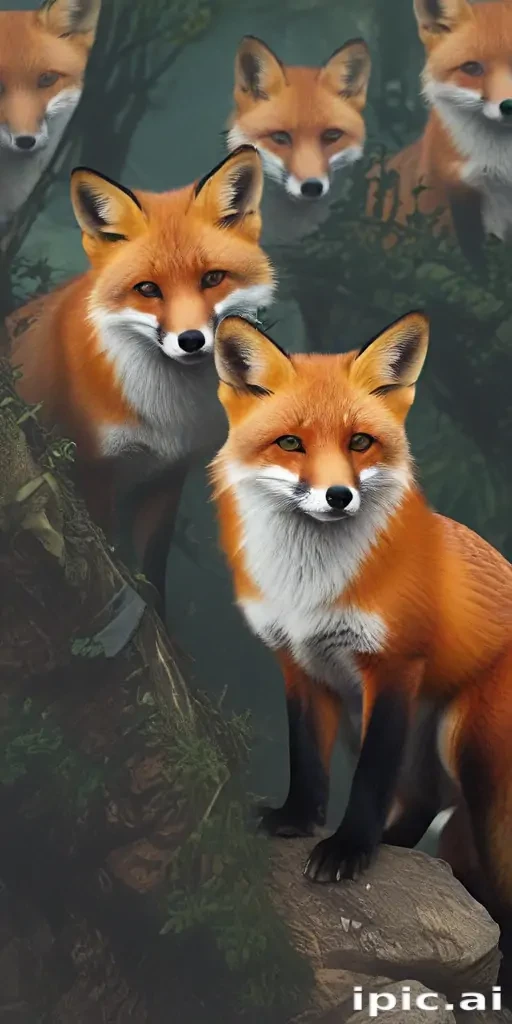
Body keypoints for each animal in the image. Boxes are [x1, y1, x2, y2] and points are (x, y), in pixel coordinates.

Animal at [8, 145, 275, 613]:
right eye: (148, 289)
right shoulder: (92, 470)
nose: (191, 341)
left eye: (212, 278)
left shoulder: (167, 476)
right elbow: (112, 550)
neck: (165, 417)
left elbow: (153, 570)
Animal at [209, 311, 512, 957]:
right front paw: (298, 820)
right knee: (424, 801)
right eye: (291, 443)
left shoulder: (393, 665)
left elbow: (370, 775)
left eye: (359, 442)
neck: (311, 589)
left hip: (470, 749)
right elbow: (306, 756)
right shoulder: (298, 662)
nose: (338, 496)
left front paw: (348, 849)